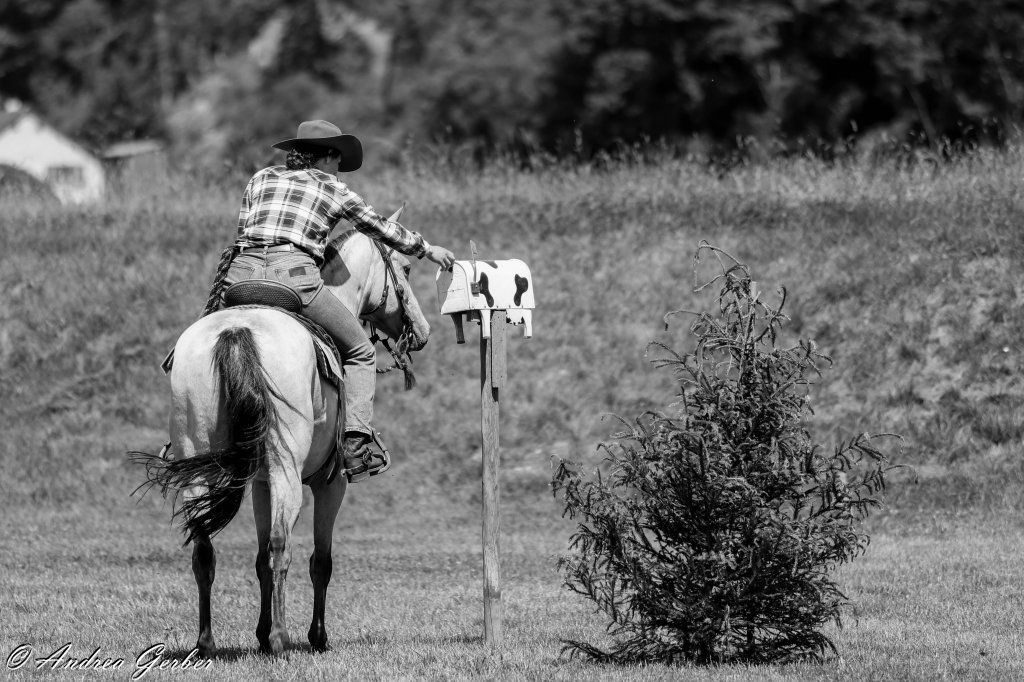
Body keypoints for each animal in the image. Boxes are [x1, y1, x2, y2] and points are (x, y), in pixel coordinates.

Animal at [136, 230, 430, 657]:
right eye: (405, 269)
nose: (421, 331)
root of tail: (237, 331)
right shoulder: (330, 484)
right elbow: (319, 561)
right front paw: (314, 636)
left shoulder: (260, 484)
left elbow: (259, 561)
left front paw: (259, 633)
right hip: (287, 470)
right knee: (281, 547)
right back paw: (280, 638)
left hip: (199, 463)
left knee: (204, 550)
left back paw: (206, 642)